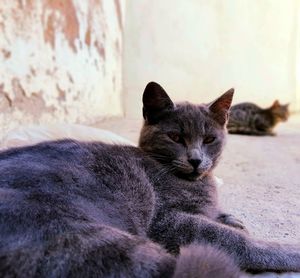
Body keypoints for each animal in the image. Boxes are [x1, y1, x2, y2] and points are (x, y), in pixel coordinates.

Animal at [0, 81, 298, 276]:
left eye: (209, 139)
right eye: (175, 137)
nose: (195, 159)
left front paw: (231, 218)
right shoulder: (167, 220)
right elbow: (234, 239)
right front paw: (287, 250)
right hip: (82, 236)